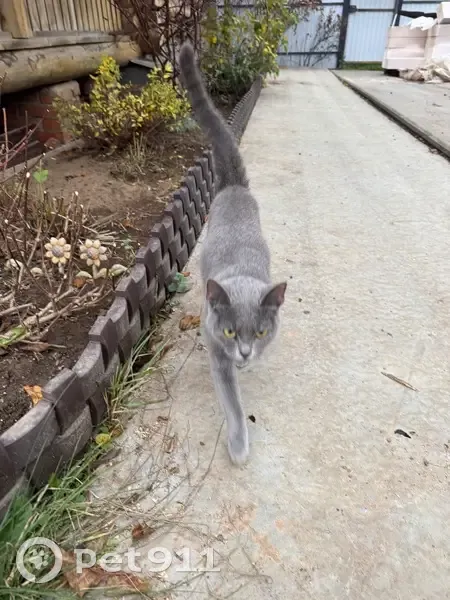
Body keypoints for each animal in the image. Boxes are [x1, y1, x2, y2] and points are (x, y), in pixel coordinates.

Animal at [178, 42, 286, 465]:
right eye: (228, 330)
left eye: (260, 331)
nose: (243, 353)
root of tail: (234, 187)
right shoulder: (216, 349)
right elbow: (233, 402)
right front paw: (239, 445)